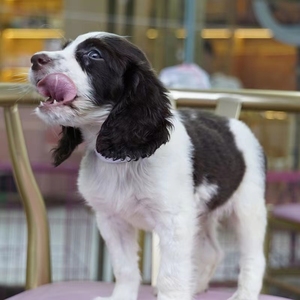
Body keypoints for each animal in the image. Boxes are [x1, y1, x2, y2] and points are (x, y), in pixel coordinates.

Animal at [28, 32, 268, 300]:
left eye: (94, 55)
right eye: (64, 48)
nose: (35, 59)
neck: (122, 159)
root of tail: (234, 123)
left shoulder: (175, 222)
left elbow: (170, 275)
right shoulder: (111, 220)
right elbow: (125, 268)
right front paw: (121, 297)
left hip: (248, 208)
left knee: (254, 258)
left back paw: (244, 293)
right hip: (202, 214)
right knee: (212, 252)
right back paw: (196, 287)